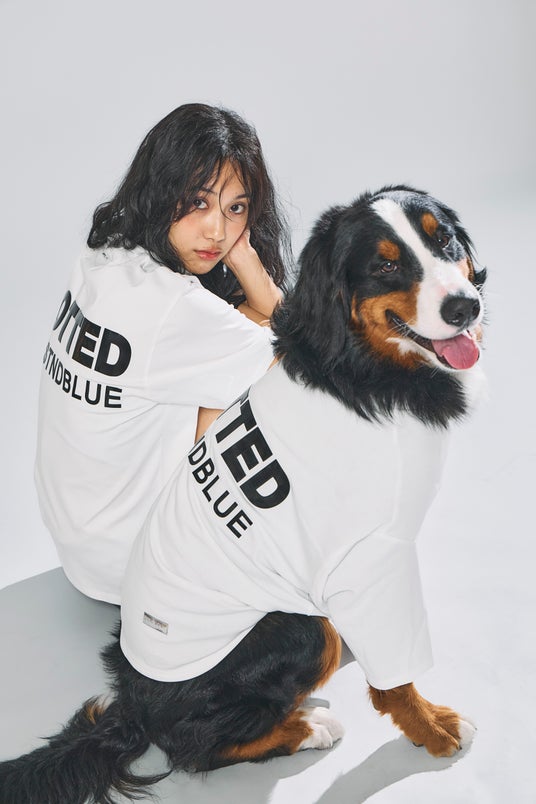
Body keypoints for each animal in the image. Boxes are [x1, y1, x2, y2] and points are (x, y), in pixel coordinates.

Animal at [0, 186, 486, 803]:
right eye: (385, 266)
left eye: (442, 239)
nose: (464, 308)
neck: (362, 369)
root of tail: (133, 697)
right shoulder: (377, 556)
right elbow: (396, 677)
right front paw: (432, 728)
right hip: (296, 630)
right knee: (194, 745)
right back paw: (309, 727)